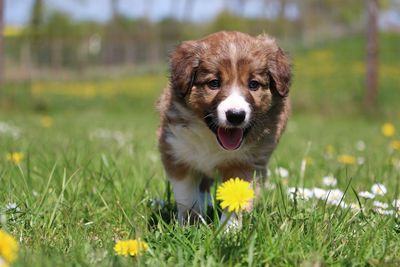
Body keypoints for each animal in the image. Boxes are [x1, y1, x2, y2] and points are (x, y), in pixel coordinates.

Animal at [158, 30, 292, 224]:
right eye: (214, 83)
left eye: (253, 84)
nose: (236, 115)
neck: (211, 139)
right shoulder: (177, 154)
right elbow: (186, 196)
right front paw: (190, 224)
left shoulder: (245, 163)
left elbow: (236, 197)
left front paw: (229, 229)